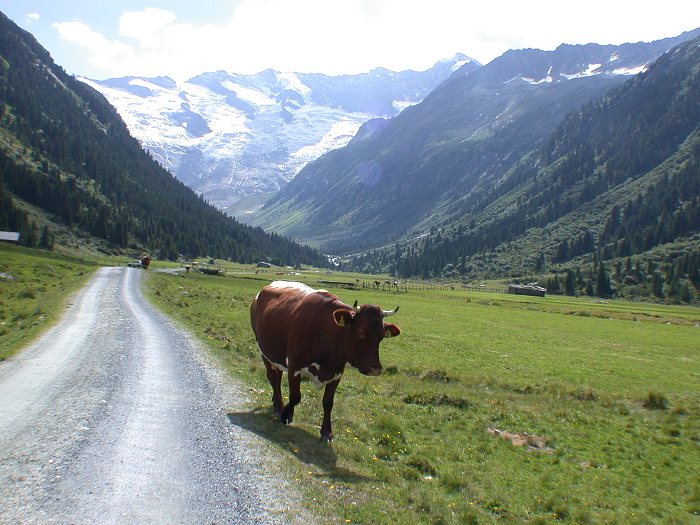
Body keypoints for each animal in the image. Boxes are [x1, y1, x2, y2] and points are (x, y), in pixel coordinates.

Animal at [250, 280, 400, 440]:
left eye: (381, 335)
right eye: (360, 332)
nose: (375, 369)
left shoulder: (337, 372)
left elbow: (328, 402)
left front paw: (327, 431)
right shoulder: (294, 367)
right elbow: (295, 396)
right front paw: (286, 414)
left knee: (277, 376)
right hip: (264, 351)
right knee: (273, 377)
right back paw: (278, 406)